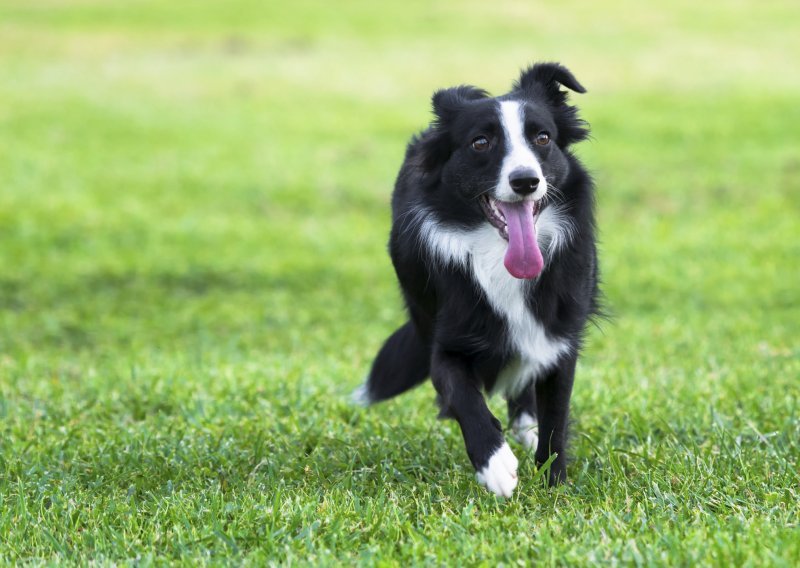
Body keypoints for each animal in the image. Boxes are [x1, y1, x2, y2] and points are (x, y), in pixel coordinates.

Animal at [354, 63, 596, 496]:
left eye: (543, 138)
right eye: (480, 142)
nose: (525, 181)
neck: (497, 255)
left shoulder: (559, 336)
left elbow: (555, 416)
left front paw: (553, 482)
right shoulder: (444, 341)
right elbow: (462, 395)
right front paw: (495, 464)